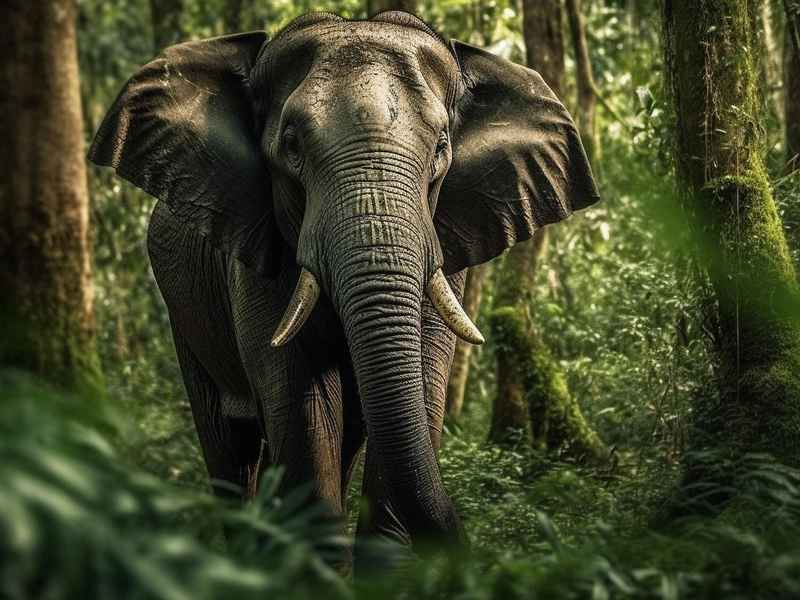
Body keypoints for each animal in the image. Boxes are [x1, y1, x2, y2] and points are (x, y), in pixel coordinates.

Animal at [89, 10, 599, 567]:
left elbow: (420, 385)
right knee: (231, 447)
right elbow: (300, 396)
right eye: (291, 144)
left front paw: (388, 573)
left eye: (442, 147)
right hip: (184, 314)